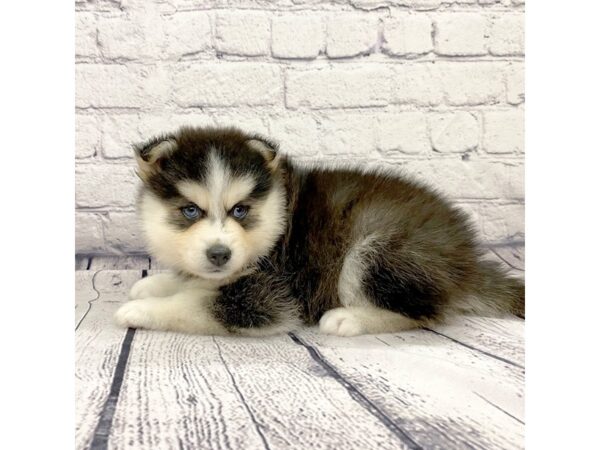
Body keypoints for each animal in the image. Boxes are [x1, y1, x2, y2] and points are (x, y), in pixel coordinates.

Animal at [113, 125, 524, 336]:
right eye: (190, 210)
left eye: (241, 210)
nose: (219, 254)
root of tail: (468, 259)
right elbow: (192, 281)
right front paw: (155, 283)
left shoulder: (271, 293)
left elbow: (197, 303)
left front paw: (140, 309)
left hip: (381, 252)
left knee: (423, 313)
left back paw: (350, 318)